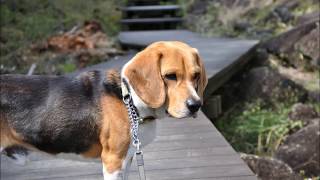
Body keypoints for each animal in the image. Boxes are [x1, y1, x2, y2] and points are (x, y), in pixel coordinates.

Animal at [0, 41, 208, 180]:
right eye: (170, 76)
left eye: (196, 75)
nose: (195, 105)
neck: (129, 99)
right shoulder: (112, 161)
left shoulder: (127, 159)